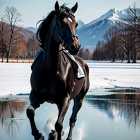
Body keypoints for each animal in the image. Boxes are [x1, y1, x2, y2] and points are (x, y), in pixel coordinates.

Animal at [26, 1, 89, 140]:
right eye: (60, 24)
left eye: (76, 24)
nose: (75, 47)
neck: (51, 70)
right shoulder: (36, 95)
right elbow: (30, 111)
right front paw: (38, 134)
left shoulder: (64, 99)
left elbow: (59, 124)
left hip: (79, 98)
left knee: (72, 120)